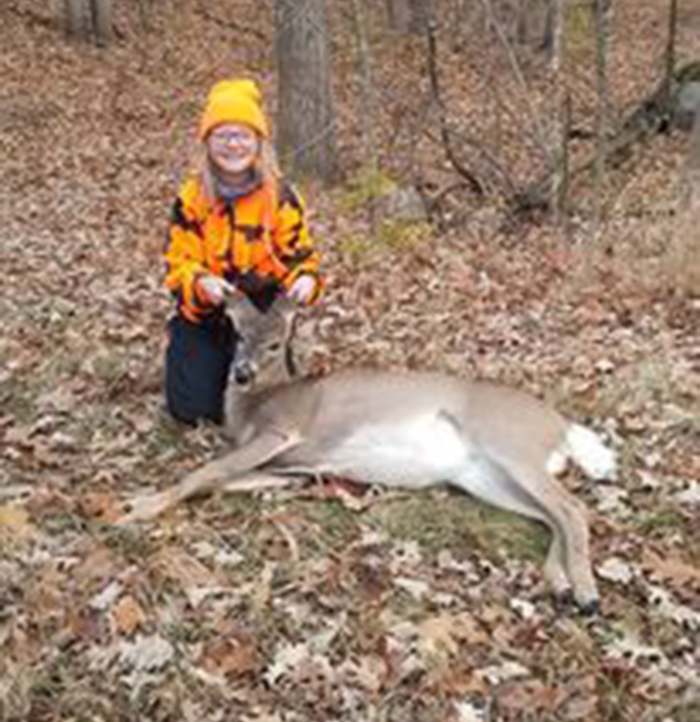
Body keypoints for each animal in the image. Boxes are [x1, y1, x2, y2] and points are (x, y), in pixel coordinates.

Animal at [118, 296, 617, 614]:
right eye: (238, 335)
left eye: (276, 343)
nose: (241, 373)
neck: (254, 408)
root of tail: (562, 426)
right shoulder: (287, 467)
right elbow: (221, 480)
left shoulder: (282, 431)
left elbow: (203, 473)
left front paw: (134, 509)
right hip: (483, 477)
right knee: (552, 515)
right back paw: (560, 585)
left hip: (509, 443)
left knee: (572, 508)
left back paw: (587, 594)